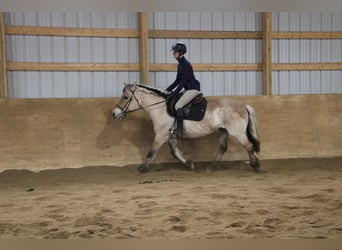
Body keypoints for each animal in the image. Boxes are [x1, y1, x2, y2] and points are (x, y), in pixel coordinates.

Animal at [112, 83, 260, 173]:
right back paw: (210, 167)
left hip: (237, 132)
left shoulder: (161, 136)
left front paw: (141, 169)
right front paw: (189, 164)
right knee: (223, 148)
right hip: (223, 130)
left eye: (126, 97)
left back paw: (256, 166)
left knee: (249, 146)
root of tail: (244, 105)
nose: (114, 113)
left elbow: (151, 152)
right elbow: (175, 152)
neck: (159, 109)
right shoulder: (170, 136)